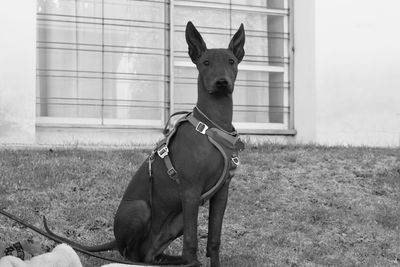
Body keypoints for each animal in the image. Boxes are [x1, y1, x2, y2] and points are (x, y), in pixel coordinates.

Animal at [43, 21, 244, 267]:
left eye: (231, 62)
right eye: (205, 63)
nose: (222, 82)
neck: (213, 125)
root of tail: (116, 239)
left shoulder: (221, 193)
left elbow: (214, 240)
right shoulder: (190, 192)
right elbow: (192, 242)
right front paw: (192, 260)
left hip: (175, 221)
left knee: (148, 254)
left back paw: (165, 260)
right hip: (142, 208)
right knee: (129, 253)